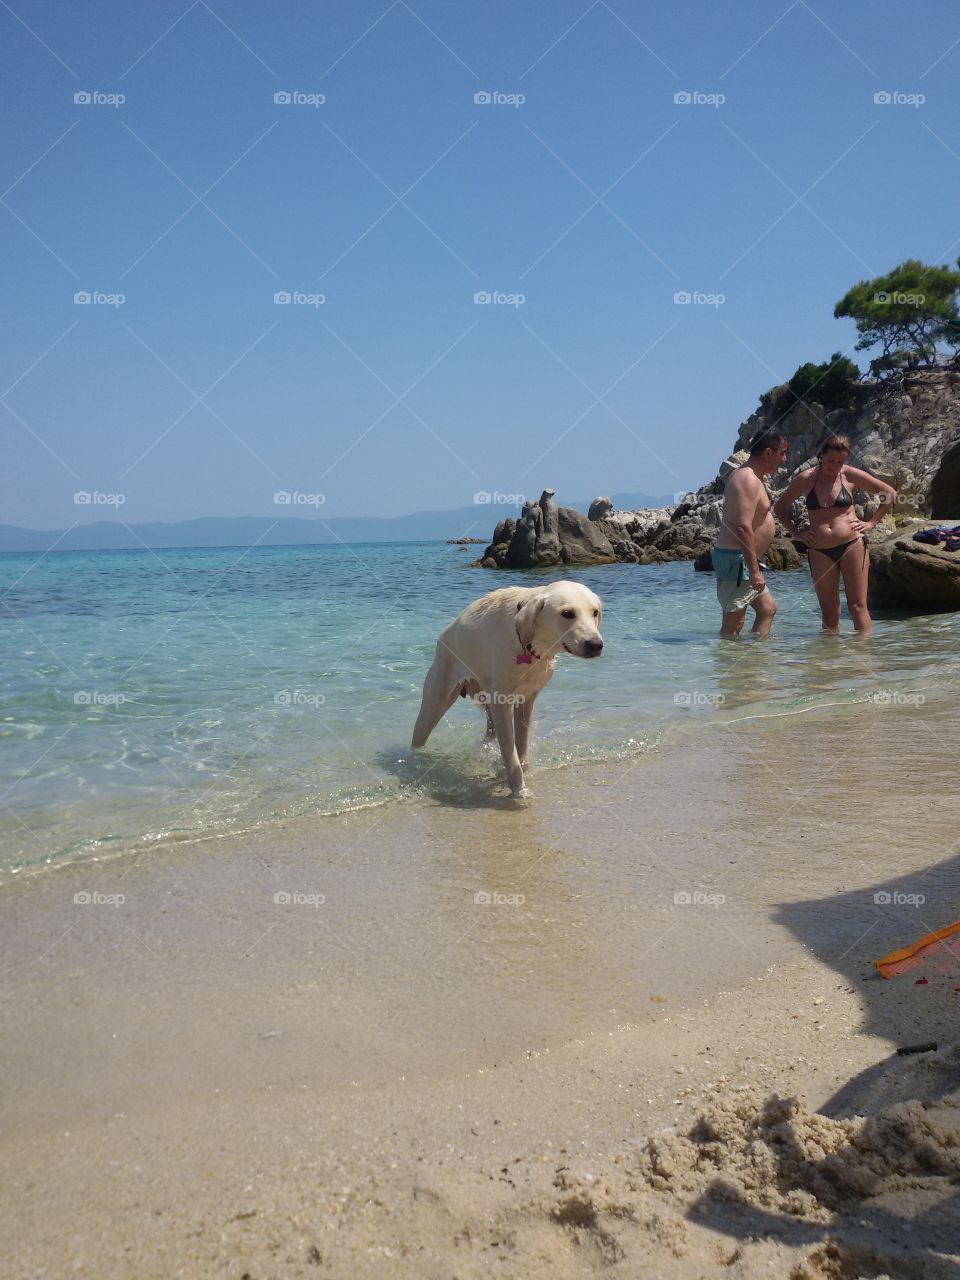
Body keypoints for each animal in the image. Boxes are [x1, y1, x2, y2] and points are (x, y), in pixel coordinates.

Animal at [412, 583, 604, 798]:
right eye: (567, 613)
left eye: (595, 612)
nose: (596, 644)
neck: (529, 644)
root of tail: (443, 635)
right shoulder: (502, 705)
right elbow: (511, 755)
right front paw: (519, 790)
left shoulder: (526, 701)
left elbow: (521, 748)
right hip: (433, 705)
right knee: (420, 734)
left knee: (490, 733)